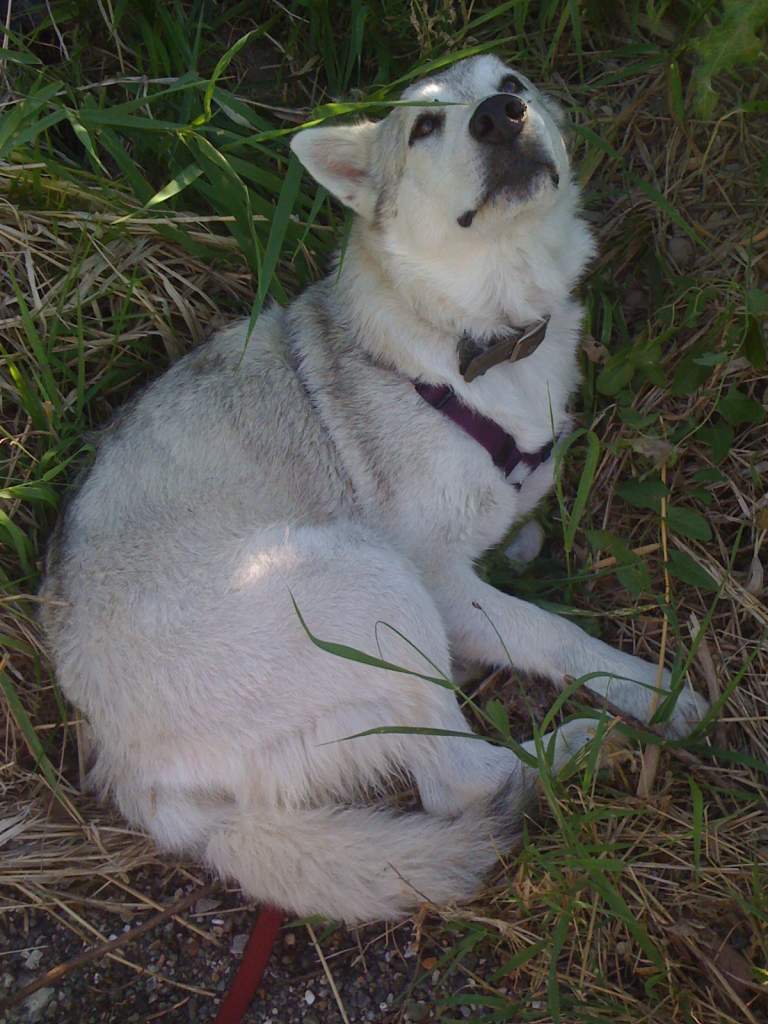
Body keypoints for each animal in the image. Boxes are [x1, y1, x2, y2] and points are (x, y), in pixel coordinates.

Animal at [39, 54, 708, 921]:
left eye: (510, 82)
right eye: (423, 126)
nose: (500, 116)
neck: (475, 337)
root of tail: (134, 777)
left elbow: (518, 533)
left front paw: (524, 544)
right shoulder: (441, 584)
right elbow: (553, 633)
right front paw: (655, 691)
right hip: (362, 578)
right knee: (463, 782)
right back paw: (589, 742)